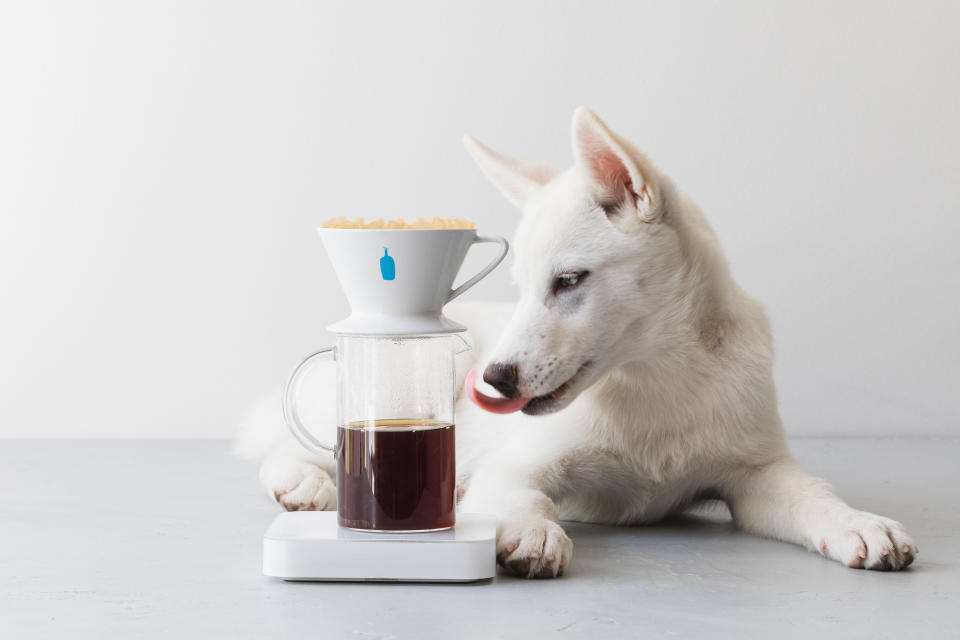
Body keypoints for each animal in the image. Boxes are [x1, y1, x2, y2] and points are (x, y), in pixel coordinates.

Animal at [236, 107, 920, 576]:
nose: (494, 381)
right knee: (294, 443)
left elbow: (814, 494)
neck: (660, 381)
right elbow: (525, 498)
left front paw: (858, 524)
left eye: (568, 281)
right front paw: (534, 533)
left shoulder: (757, 475)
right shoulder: (516, 467)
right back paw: (301, 482)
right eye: (520, 287)